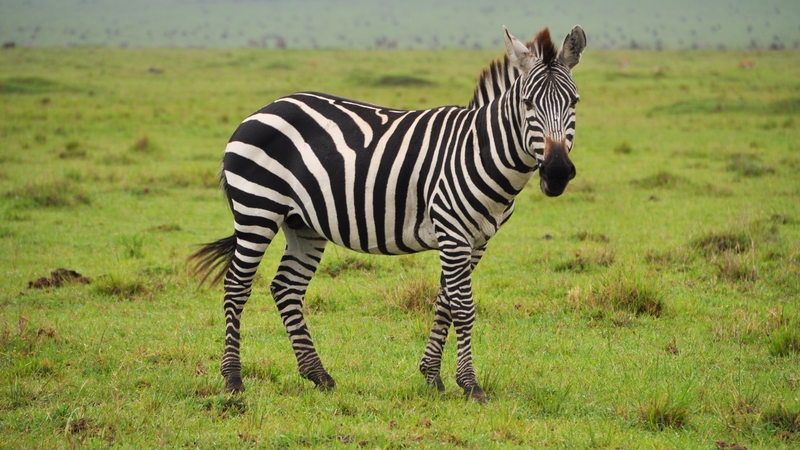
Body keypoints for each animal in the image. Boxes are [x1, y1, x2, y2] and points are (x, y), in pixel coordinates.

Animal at [190, 25, 586, 402]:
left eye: (574, 102)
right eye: (528, 103)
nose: (557, 172)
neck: (479, 150)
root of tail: (265, 108)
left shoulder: (476, 240)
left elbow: (445, 302)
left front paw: (432, 375)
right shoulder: (453, 232)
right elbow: (463, 306)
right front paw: (470, 385)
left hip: (302, 223)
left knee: (286, 287)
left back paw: (318, 375)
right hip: (257, 207)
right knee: (237, 285)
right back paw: (233, 379)